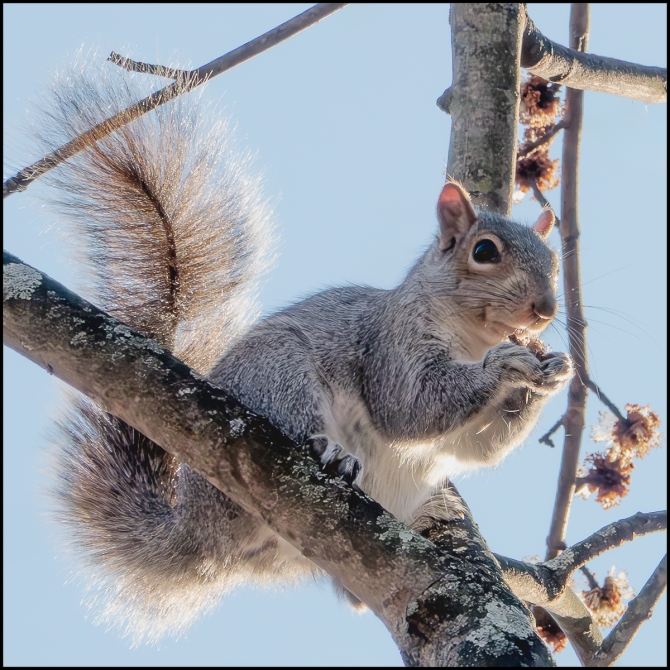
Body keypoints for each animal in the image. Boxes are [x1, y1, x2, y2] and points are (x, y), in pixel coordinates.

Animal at [32, 61, 572, 645]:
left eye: (553, 262)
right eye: (484, 252)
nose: (544, 308)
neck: (471, 338)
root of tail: (196, 530)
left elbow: (479, 447)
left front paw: (554, 372)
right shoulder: (392, 343)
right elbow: (410, 407)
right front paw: (507, 366)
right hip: (278, 374)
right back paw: (330, 453)